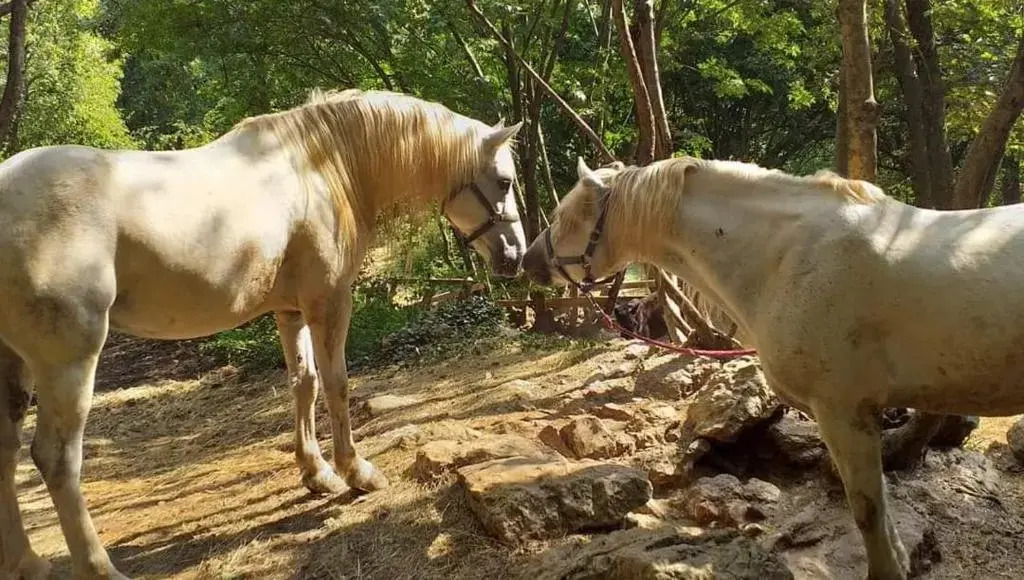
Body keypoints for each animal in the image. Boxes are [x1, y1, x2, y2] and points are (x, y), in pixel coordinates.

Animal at [0, 88, 526, 579]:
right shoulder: (330, 303)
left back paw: (27, 563)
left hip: (15, 365)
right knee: (56, 459)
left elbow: (304, 384)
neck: (321, 165)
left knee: (7, 448)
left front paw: (318, 474)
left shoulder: (290, 312)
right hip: (69, 361)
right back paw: (99, 567)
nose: (516, 255)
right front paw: (357, 473)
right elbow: (336, 384)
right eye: (504, 181)